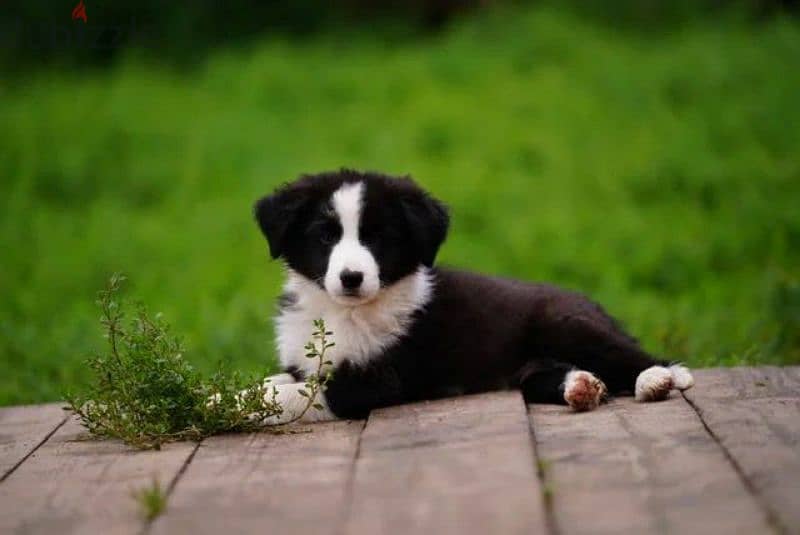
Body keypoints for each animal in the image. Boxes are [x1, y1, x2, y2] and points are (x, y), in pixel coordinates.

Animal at [252, 171, 692, 422]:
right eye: (325, 236)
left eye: (377, 237)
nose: (351, 278)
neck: (342, 311)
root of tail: (592, 303)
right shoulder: (308, 363)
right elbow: (279, 381)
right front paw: (242, 392)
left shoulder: (377, 378)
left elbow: (294, 395)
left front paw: (240, 404)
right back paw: (581, 387)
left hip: (563, 324)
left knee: (632, 356)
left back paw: (658, 378)